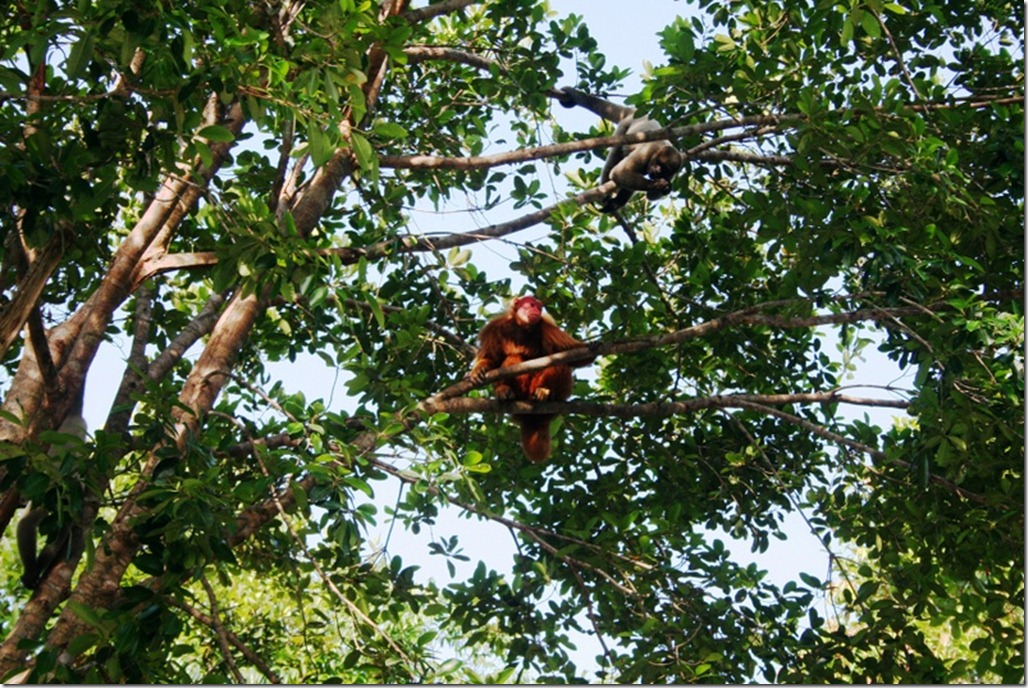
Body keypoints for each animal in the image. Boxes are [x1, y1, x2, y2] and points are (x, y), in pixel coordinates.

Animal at [470, 294, 592, 460]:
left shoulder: (546, 326)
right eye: (532, 304)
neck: (521, 326)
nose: (537, 310)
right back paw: (505, 390)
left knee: (557, 361)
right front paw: (478, 369)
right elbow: (490, 359)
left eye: (539, 307)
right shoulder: (494, 328)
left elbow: (574, 354)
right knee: (514, 358)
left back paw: (545, 391)